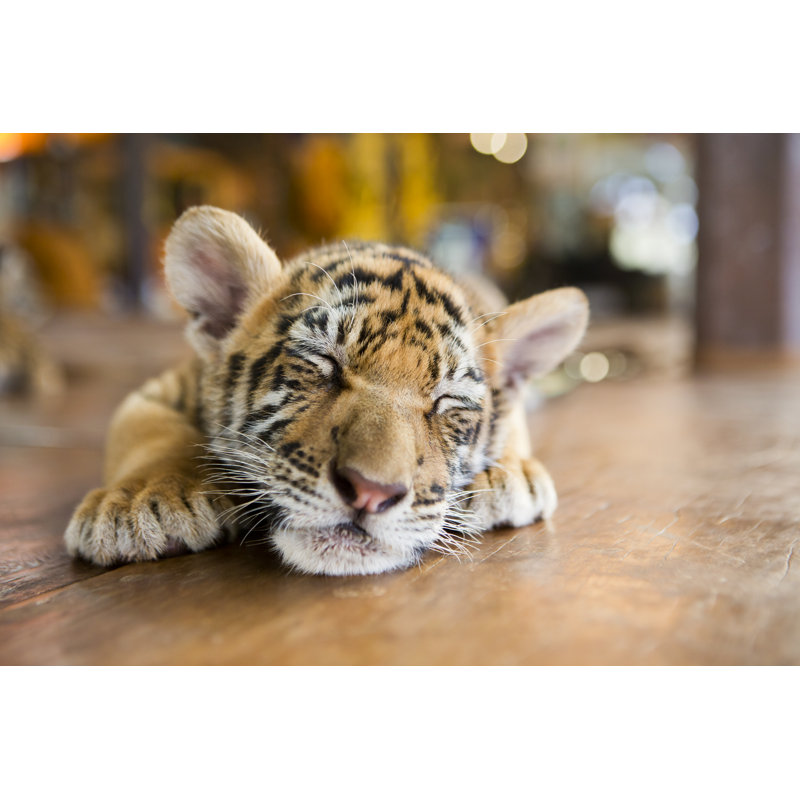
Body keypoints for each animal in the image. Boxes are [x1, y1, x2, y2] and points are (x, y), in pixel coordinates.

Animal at [64, 206, 588, 575]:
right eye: (324, 363)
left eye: (446, 402)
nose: (371, 493)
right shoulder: (156, 390)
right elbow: (149, 432)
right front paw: (140, 503)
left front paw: (509, 475)